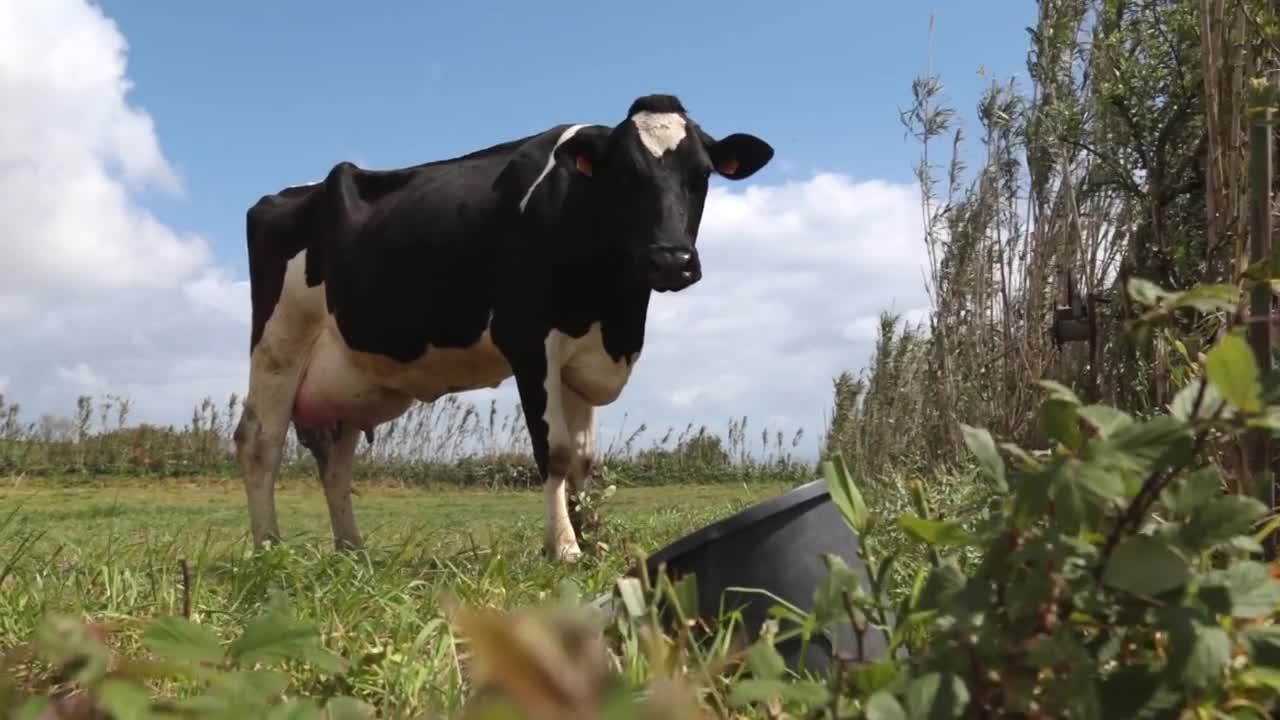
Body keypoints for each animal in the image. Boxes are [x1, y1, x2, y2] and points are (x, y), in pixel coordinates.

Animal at [230, 92, 768, 558]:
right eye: (625, 175)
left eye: (702, 174)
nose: (672, 260)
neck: (613, 309)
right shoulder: (529, 342)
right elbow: (554, 451)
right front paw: (565, 547)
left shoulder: (580, 356)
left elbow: (583, 458)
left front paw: (595, 539)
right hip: (279, 343)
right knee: (260, 442)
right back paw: (268, 549)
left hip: (347, 379)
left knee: (336, 465)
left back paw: (352, 551)